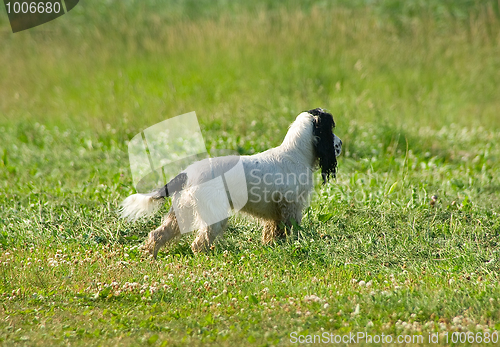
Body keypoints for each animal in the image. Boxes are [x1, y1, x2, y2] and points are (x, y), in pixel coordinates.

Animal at [120, 109, 340, 258]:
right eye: (330, 128)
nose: (340, 144)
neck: (294, 154)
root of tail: (186, 174)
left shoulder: (276, 214)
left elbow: (272, 234)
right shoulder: (291, 207)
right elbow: (290, 230)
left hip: (180, 214)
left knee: (157, 235)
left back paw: (149, 256)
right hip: (214, 216)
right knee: (198, 244)